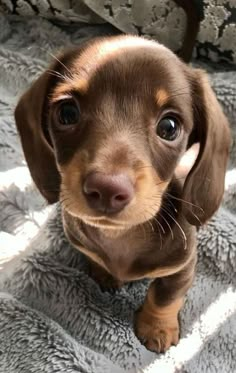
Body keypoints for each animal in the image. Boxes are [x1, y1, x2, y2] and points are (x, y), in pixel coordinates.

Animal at [13, 35, 230, 352]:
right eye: (67, 112)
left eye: (169, 126)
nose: (107, 189)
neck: (121, 236)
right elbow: (96, 259)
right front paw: (104, 272)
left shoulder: (183, 267)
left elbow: (165, 297)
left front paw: (157, 327)